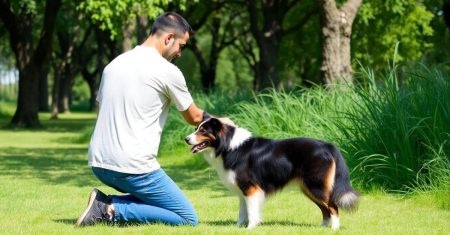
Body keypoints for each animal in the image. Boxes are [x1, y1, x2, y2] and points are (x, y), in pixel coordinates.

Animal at [184, 116, 358, 229]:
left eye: (203, 130)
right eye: (196, 129)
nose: (186, 139)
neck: (227, 146)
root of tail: (328, 146)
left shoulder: (250, 188)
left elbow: (251, 211)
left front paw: (250, 228)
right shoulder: (242, 191)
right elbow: (242, 212)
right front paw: (237, 228)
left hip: (316, 185)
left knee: (333, 206)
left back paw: (334, 229)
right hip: (309, 188)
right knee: (325, 209)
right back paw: (322, 228)